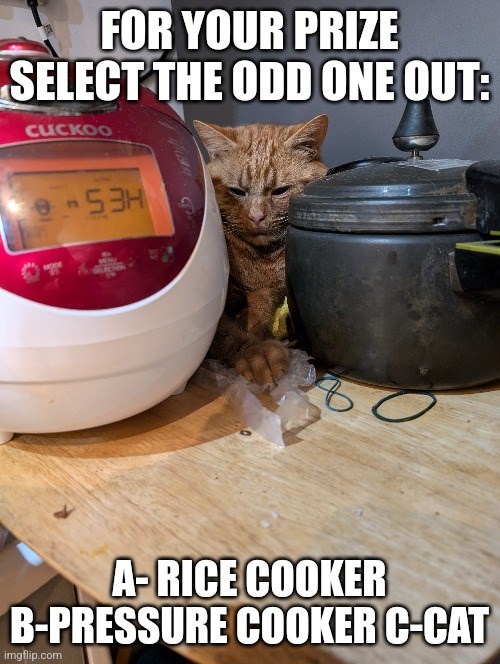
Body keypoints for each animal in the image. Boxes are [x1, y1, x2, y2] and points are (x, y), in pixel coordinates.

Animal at [194, 115, 328, 384]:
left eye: (280, 191)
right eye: (237, 191)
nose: (256, 217)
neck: (260, 258)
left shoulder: (275, 287)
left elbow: (262, 306)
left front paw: (253, 324)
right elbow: (225, 334)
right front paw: (256, 353)